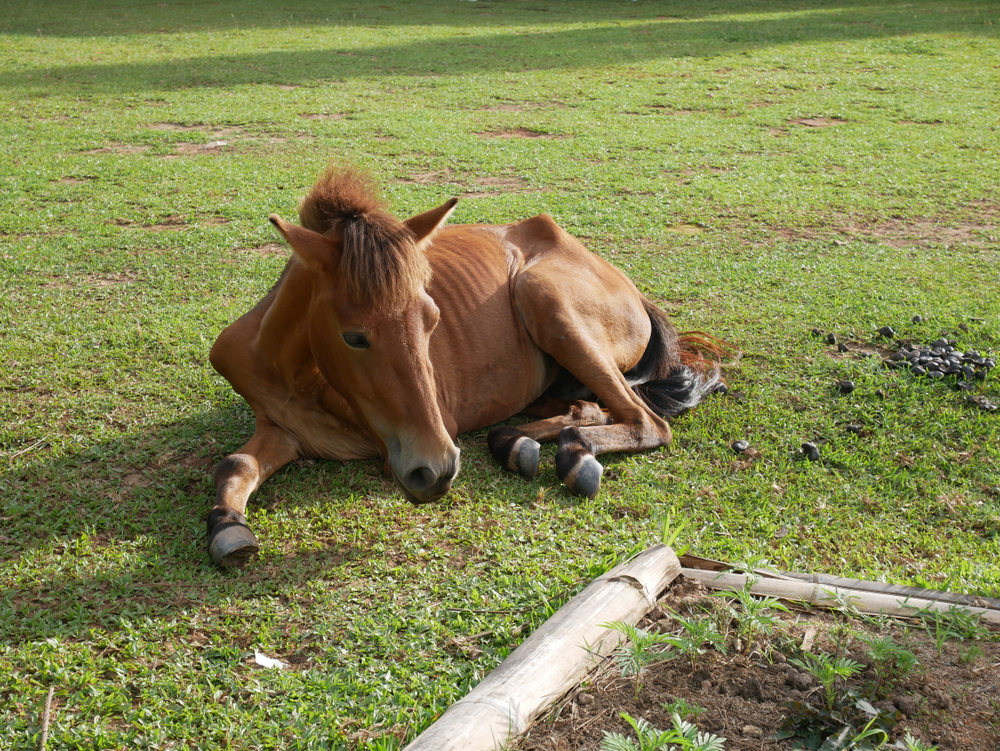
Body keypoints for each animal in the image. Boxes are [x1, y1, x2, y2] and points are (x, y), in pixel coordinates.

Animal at [207, 165, 725, 567]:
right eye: (353, 336)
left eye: (433, 319)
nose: (437, 470)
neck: (301, 375)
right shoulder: (282, 428)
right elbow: (237, 463)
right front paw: (227, 526)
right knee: (588, 409)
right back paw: (521, 444)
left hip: (544, 299)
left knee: (645, 420)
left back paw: (571, 454)